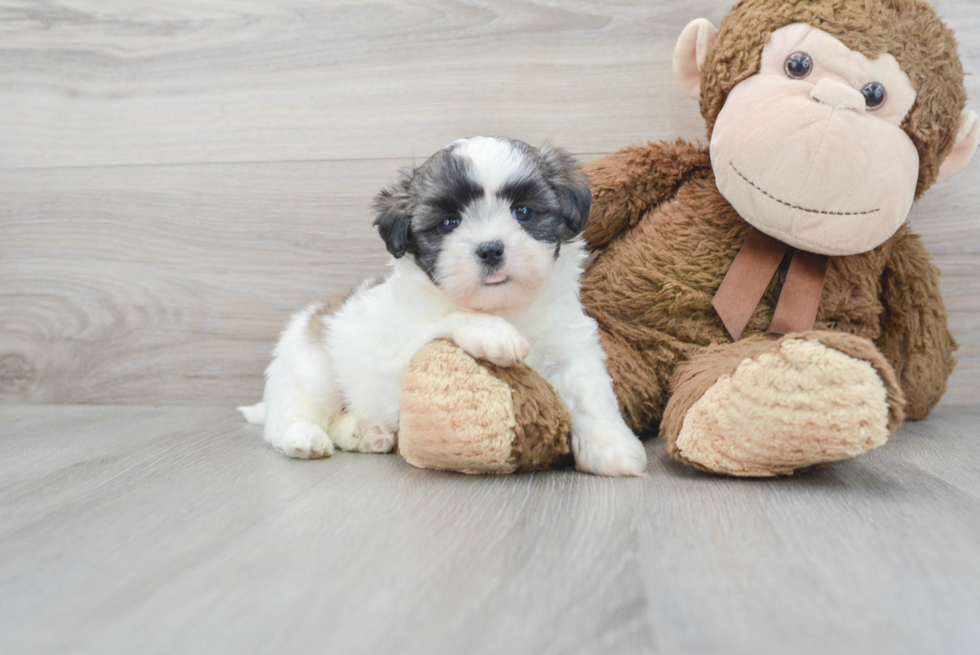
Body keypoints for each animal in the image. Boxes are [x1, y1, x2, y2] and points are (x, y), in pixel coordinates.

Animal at [240, 138, 648, 476]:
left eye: (523, 212)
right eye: (449, 222)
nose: (490, 249)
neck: (503, 306)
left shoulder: (571, 348)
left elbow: (590, 394)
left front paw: (611, 447)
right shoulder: (399, 354)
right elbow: (453, 317)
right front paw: (494, 333)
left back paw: (367, 433)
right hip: (310, 370)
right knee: (290, 414)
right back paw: (301, 437)